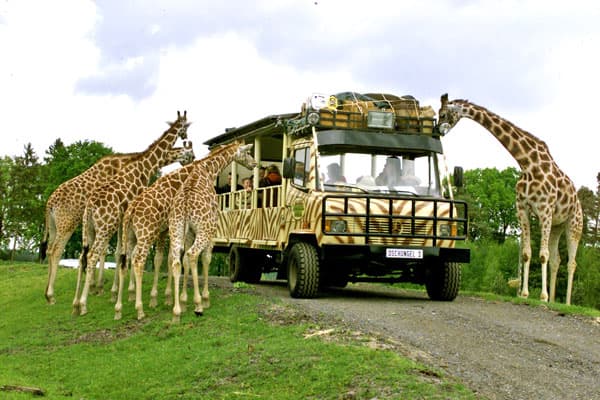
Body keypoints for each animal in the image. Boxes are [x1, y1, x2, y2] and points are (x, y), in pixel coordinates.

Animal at [42, 150, 142, 304]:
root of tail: (49, 205)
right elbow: (105, 250)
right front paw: (98, 287)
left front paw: (94, 287)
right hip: (67, 224)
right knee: (56, 250)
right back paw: (51, 295)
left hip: (53, 226)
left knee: (49, 249)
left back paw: (47, 292)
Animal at [72, 110, 192, 316]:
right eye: (186, 127)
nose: (193, 159)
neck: (145, 166)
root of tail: (89, 208)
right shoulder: (127, 216)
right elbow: (126, 253)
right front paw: (128, 293)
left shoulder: (125, 219)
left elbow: (123, 253)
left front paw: (122, 293)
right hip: (105, 226)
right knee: (93, 255)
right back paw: (84, 304)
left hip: (89, 229)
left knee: (83, 256)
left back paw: (75, 302)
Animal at [166, 141, 255, 322]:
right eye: (248, 152)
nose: (254, 163)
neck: (209, 170)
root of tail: (185, 204)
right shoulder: (212, 229)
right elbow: (206, 259)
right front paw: (204, 299)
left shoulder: (188, 233)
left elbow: (185, 261)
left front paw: (184, 302)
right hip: (204, 230)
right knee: (193, 254)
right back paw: (199, 305)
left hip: (176, 229)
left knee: (177, 260)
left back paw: (176, 312)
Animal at [438, 94, 584, 306]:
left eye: (443, 113)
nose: (438, 129)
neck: (528, 164)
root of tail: (578, 203)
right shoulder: (522, 209)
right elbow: (527, 253)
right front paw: (525, 294)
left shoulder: (544, 210)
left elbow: (542, 255)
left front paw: (542, 296)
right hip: (558, 225)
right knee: (557, 260)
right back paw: (553, 300)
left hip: (574, 224)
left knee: (571, 262)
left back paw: (565, 303)